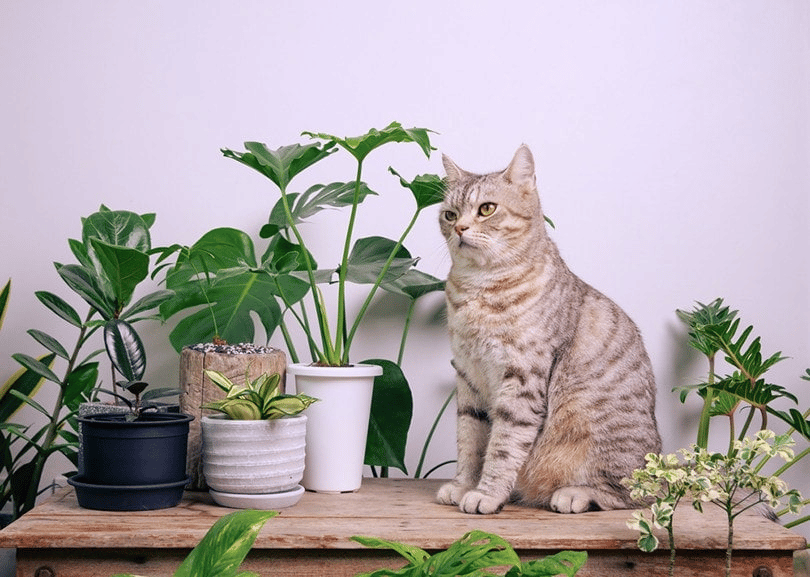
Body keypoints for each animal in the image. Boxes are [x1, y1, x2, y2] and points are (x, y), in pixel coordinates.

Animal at [436, 146, 656, 516]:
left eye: (486, 209)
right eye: (449, 215)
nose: (461, 228)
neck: (478, 288)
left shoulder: (521, 377)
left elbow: (503, 445)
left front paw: (487, 494)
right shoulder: (468, 376)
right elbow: (470, 441)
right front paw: (464, 484)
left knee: (630, 494)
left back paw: (574, 494)